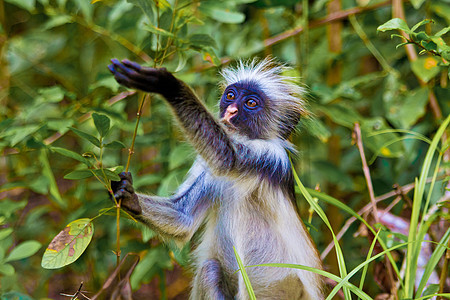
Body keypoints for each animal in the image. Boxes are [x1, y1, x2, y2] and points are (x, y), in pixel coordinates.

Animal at [107, 57, 322, 298]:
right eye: (230, 95)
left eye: (251, 103)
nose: (231, 110)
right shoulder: (206, 168)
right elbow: (183, 218)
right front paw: (127, 196)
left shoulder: (270, 156)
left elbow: (227, 158)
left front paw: (167, 84)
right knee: (209, 270)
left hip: (283, 288)